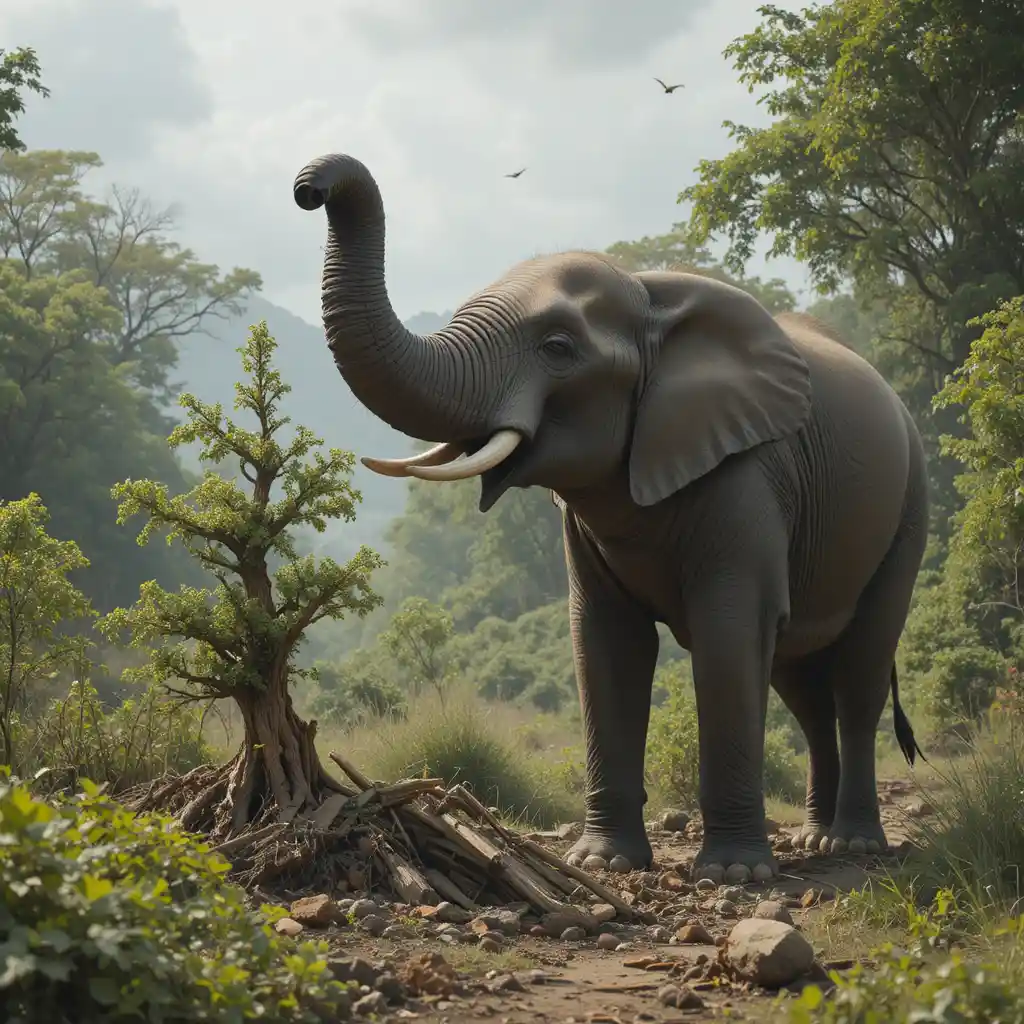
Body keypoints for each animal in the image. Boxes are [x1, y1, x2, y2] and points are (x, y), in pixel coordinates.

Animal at [292, 153, 928, 884]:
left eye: (558, 347)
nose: (311, 186)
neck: (650, 299)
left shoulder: (748, 476)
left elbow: (729, 630)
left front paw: (732, 875)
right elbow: (605, 641)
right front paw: (605, 863)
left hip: (909, 508)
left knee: (857, 675)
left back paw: (853, 846)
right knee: (801, 683)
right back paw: (817, 840)